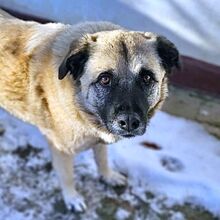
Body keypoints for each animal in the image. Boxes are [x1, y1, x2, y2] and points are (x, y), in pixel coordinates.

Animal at [0, 9, 179, 213]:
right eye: (104, 79)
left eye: (147, 77)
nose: (128, 122)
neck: (79, 104)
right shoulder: (61, 149)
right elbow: (67, 176)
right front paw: (72, 198)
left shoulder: (99, 138)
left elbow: (102, 158)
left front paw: (107, 176)